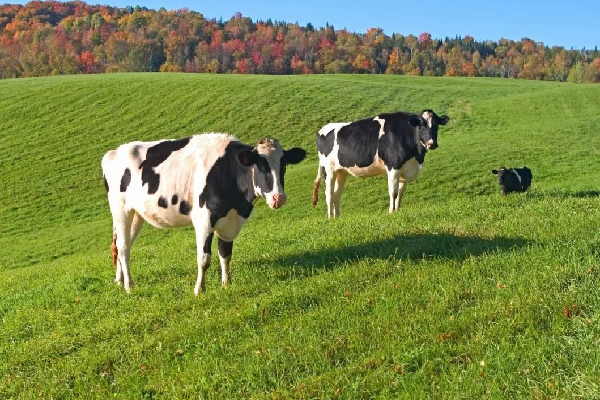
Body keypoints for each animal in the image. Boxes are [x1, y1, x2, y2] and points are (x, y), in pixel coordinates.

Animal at [102, 134, 304, 294]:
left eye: (283, 165)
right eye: (260, 166)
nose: (279, 197)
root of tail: (113, 152)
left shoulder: (229, 221)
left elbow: (225, 253)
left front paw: (226, 284)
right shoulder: (204, 220)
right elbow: (204, 259)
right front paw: (199, 289)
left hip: (136, 214)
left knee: (122, 244)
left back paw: (119, 280)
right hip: (121, 209)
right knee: (123, 247)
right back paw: (129, 285)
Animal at [312, 108, 448, 219]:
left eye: (436, 126)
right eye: (421, 127)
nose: (431, 143)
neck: (416, 158)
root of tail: (322, 129)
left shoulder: (404, 168)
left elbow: (400, 194)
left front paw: (397, 211)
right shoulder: (393, 166)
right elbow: (393, 192)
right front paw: (391, 212)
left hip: (342, 171)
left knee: (337, 194)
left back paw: (337, 217)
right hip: (328, 170)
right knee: (329, 194)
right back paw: (330, 218)